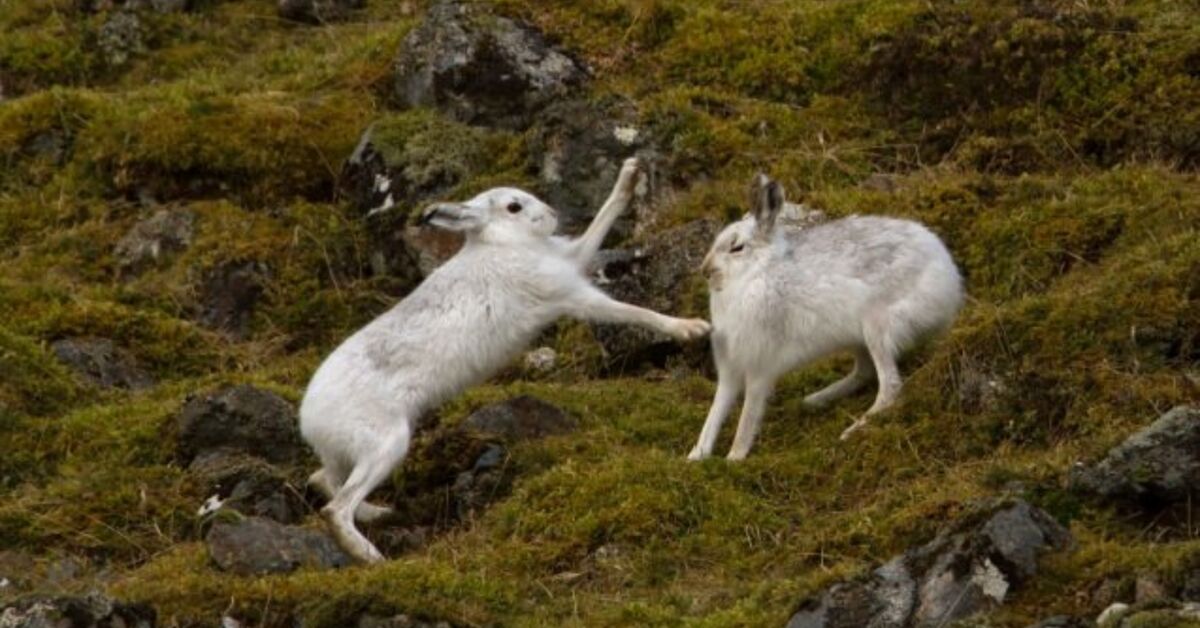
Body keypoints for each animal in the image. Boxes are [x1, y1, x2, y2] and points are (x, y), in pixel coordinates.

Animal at [300, 158, 711, 563]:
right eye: (514, 207)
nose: (553, 215)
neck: (500, 241)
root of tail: (309, 417)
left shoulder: (570, 260)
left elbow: (599, 223)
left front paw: (630, 173)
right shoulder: (571, 295)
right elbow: (632, 312)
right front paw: (691, 328)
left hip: (355, 451)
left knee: (323, 480)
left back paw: (378, 513)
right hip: (386, 441)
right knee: (336, 507)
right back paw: (370, 554)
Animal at [688, 173, 963, 461]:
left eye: (737, 248)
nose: (705, 270)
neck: (756, 273)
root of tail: (949, 279)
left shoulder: (760, 365)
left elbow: (748, 413)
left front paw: (734, 457)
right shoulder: (730, 367)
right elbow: (717, 409)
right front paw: (697, 455)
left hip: (877, 327)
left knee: (890, 387)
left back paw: (853, 429)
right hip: (858, 338)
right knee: (864, 371)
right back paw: (815, 400)